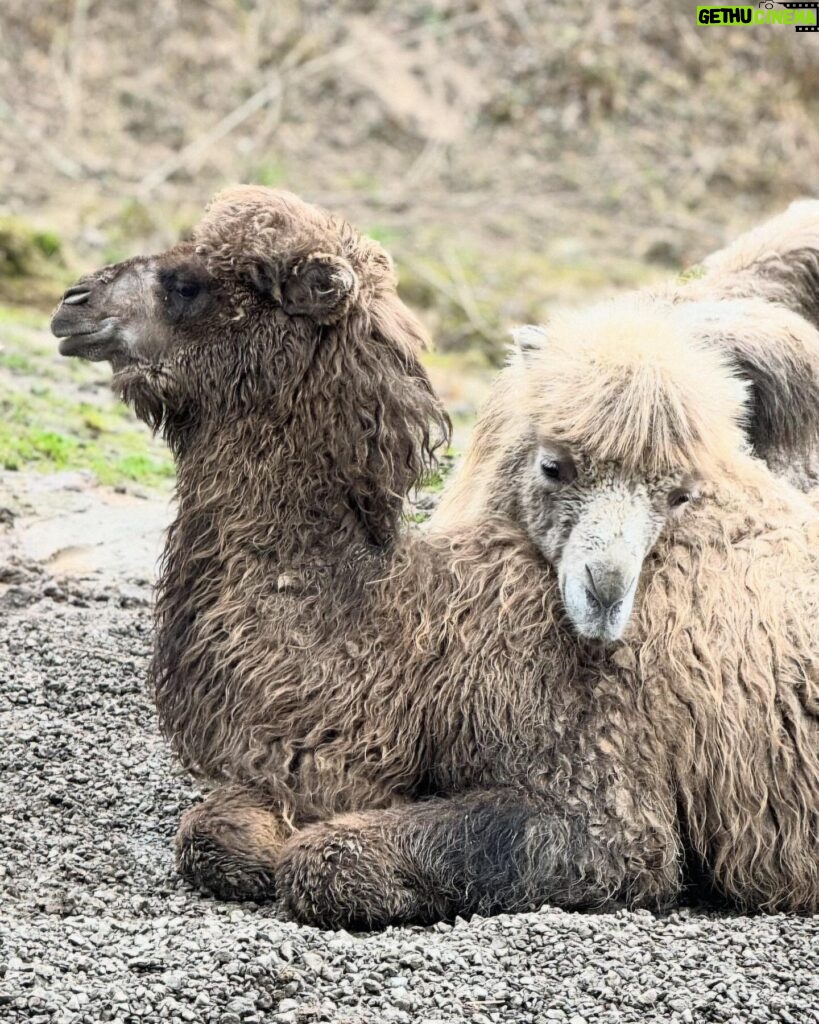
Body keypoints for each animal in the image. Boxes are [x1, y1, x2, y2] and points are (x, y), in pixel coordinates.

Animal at [51, 186, 818, 929]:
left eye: (190, 284)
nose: (72, 303)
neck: (408, 632)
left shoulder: (601, 801)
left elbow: (331, 862)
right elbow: (212, 832)